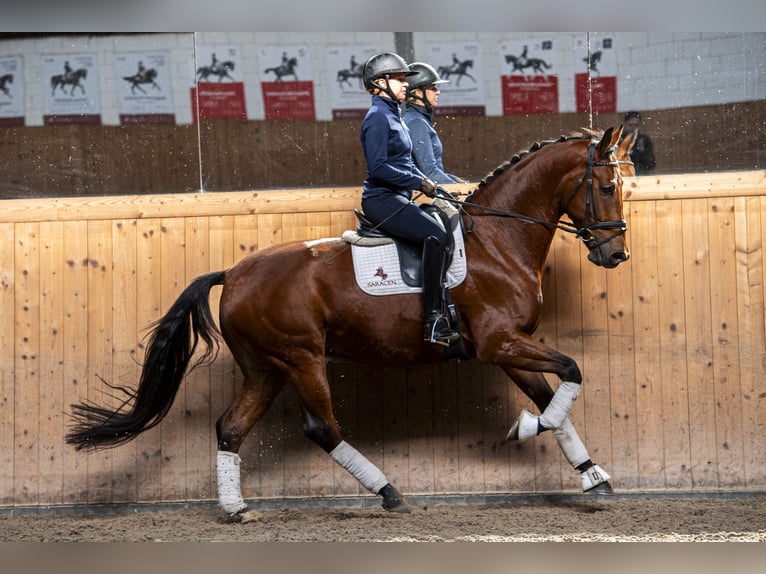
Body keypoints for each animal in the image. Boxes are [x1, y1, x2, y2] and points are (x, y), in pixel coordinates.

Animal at [67, 128, 636, 520]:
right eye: (607, 186)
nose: (616, 254)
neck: (499, 241)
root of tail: (235, 271)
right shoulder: (500, 343)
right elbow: (572, 373)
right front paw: (524, 429)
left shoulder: (509, 346)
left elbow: (553, 399)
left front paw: (593, 477)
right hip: (301, 358)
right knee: (322, 427)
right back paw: (388, 492)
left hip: (266, 367)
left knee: (231, 427)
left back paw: (235, 508)